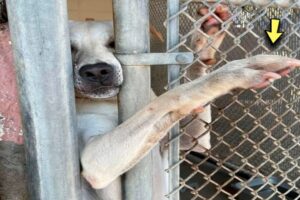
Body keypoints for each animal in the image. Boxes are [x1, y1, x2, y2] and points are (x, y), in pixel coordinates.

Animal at [68, 5, 300, 198]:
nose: (96, 71)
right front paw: (235, 73)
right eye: (69, 48)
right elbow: (173, 95)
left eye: (113, 43)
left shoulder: (190, 141)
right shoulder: (95, 161)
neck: (112, 102)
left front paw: (205, 40)